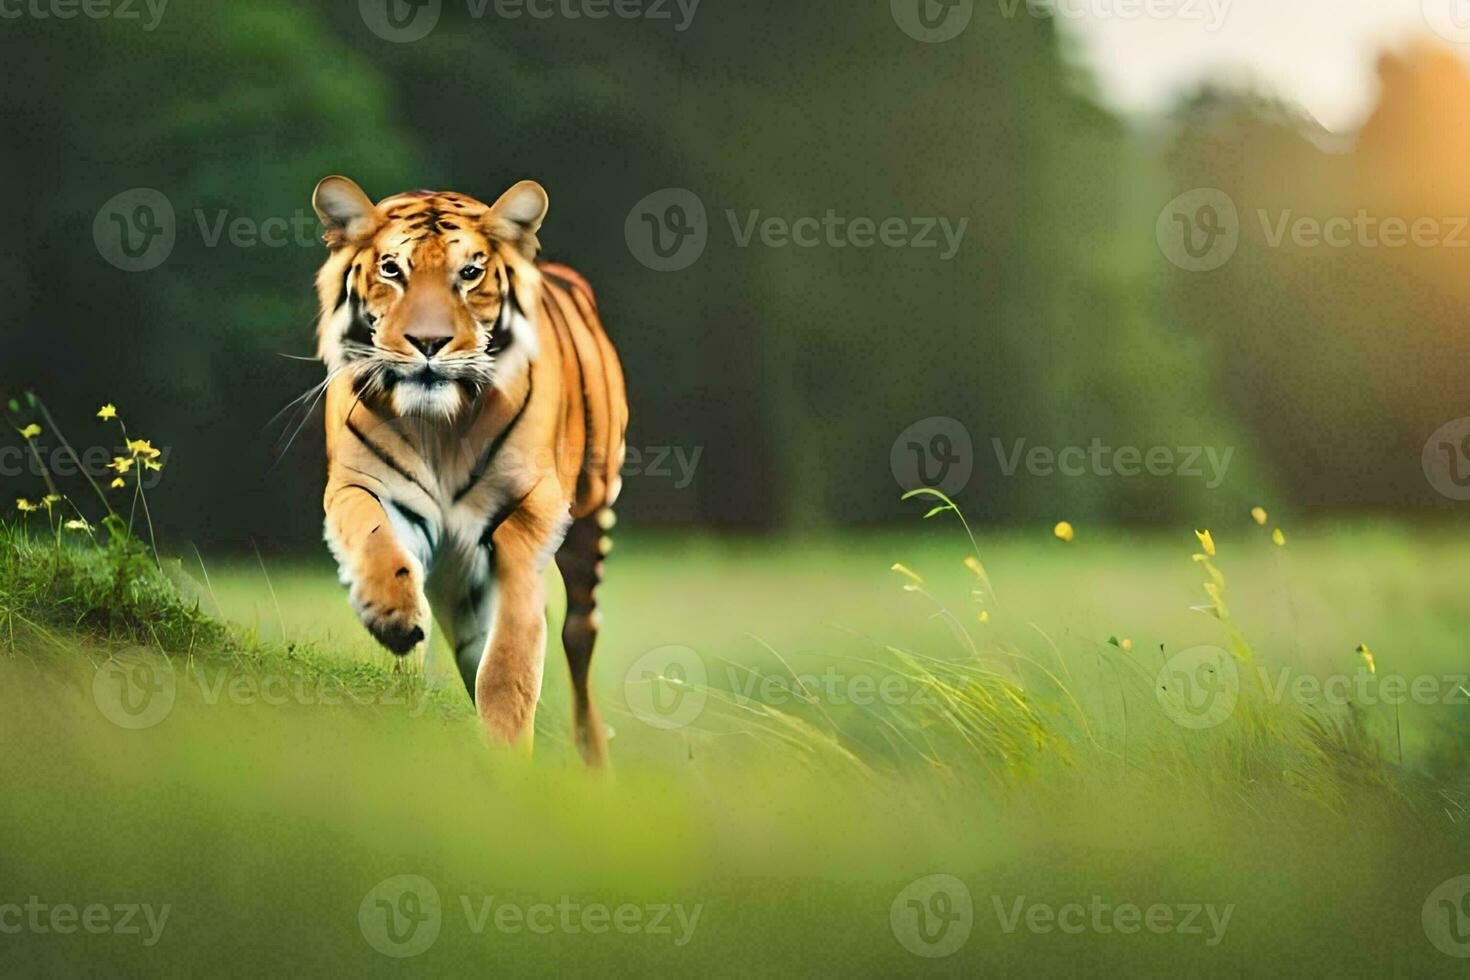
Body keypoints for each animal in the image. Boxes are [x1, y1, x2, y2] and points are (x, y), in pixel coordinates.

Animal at [307, 174, 629, 764]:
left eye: (470, 273)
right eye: (392, 269)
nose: (429, 343)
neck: (439, 428)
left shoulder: (528, 510)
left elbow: (511, 649)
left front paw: (507, 745)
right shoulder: (360, 484)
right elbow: (374, 538)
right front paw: (392, 617)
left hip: (592, 514)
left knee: (579, 631)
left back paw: (593, 756)